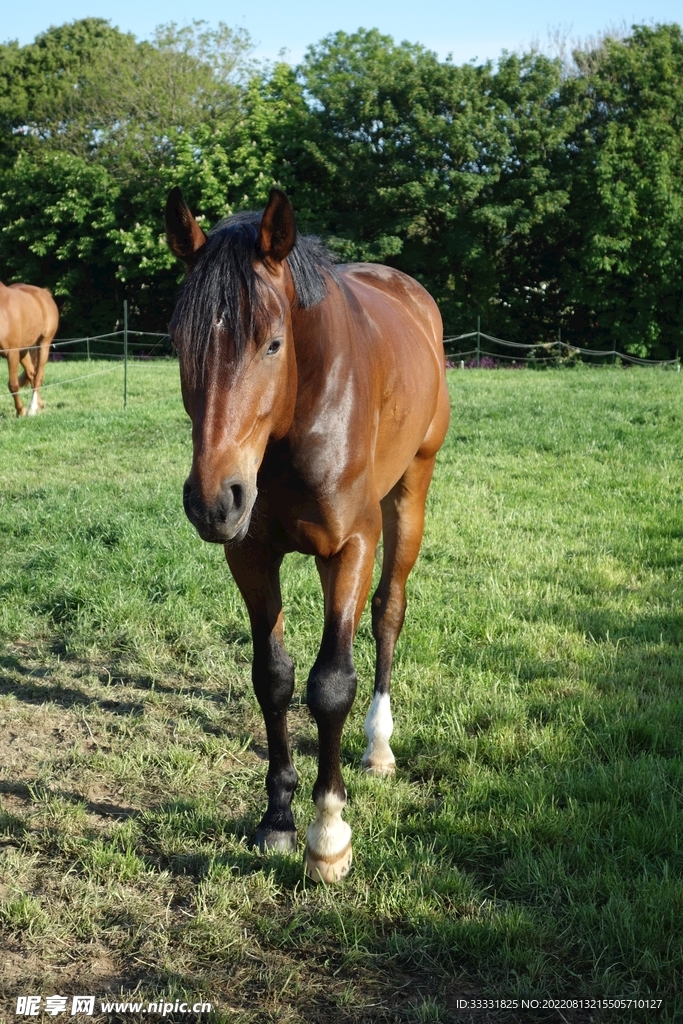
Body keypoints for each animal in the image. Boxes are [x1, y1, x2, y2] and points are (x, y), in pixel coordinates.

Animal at [0, 281, 59, 416]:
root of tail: (44, 292)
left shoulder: (11, 353)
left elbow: (13, 385)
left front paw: (20, 411)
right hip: (23, 351)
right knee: (32, 374)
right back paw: (39, 405)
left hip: (43, 344)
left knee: (38, 376)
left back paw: (32, 408)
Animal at [165, 186, 450, 882]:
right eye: (178, 342)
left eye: (272, 344)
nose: (212, 502)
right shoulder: (250, 553)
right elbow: (274, 676)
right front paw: (277, 818)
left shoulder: (350, 547)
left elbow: (330, 684)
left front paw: (329, 835)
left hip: (412, 491)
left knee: (389, 610)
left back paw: (379, 746)